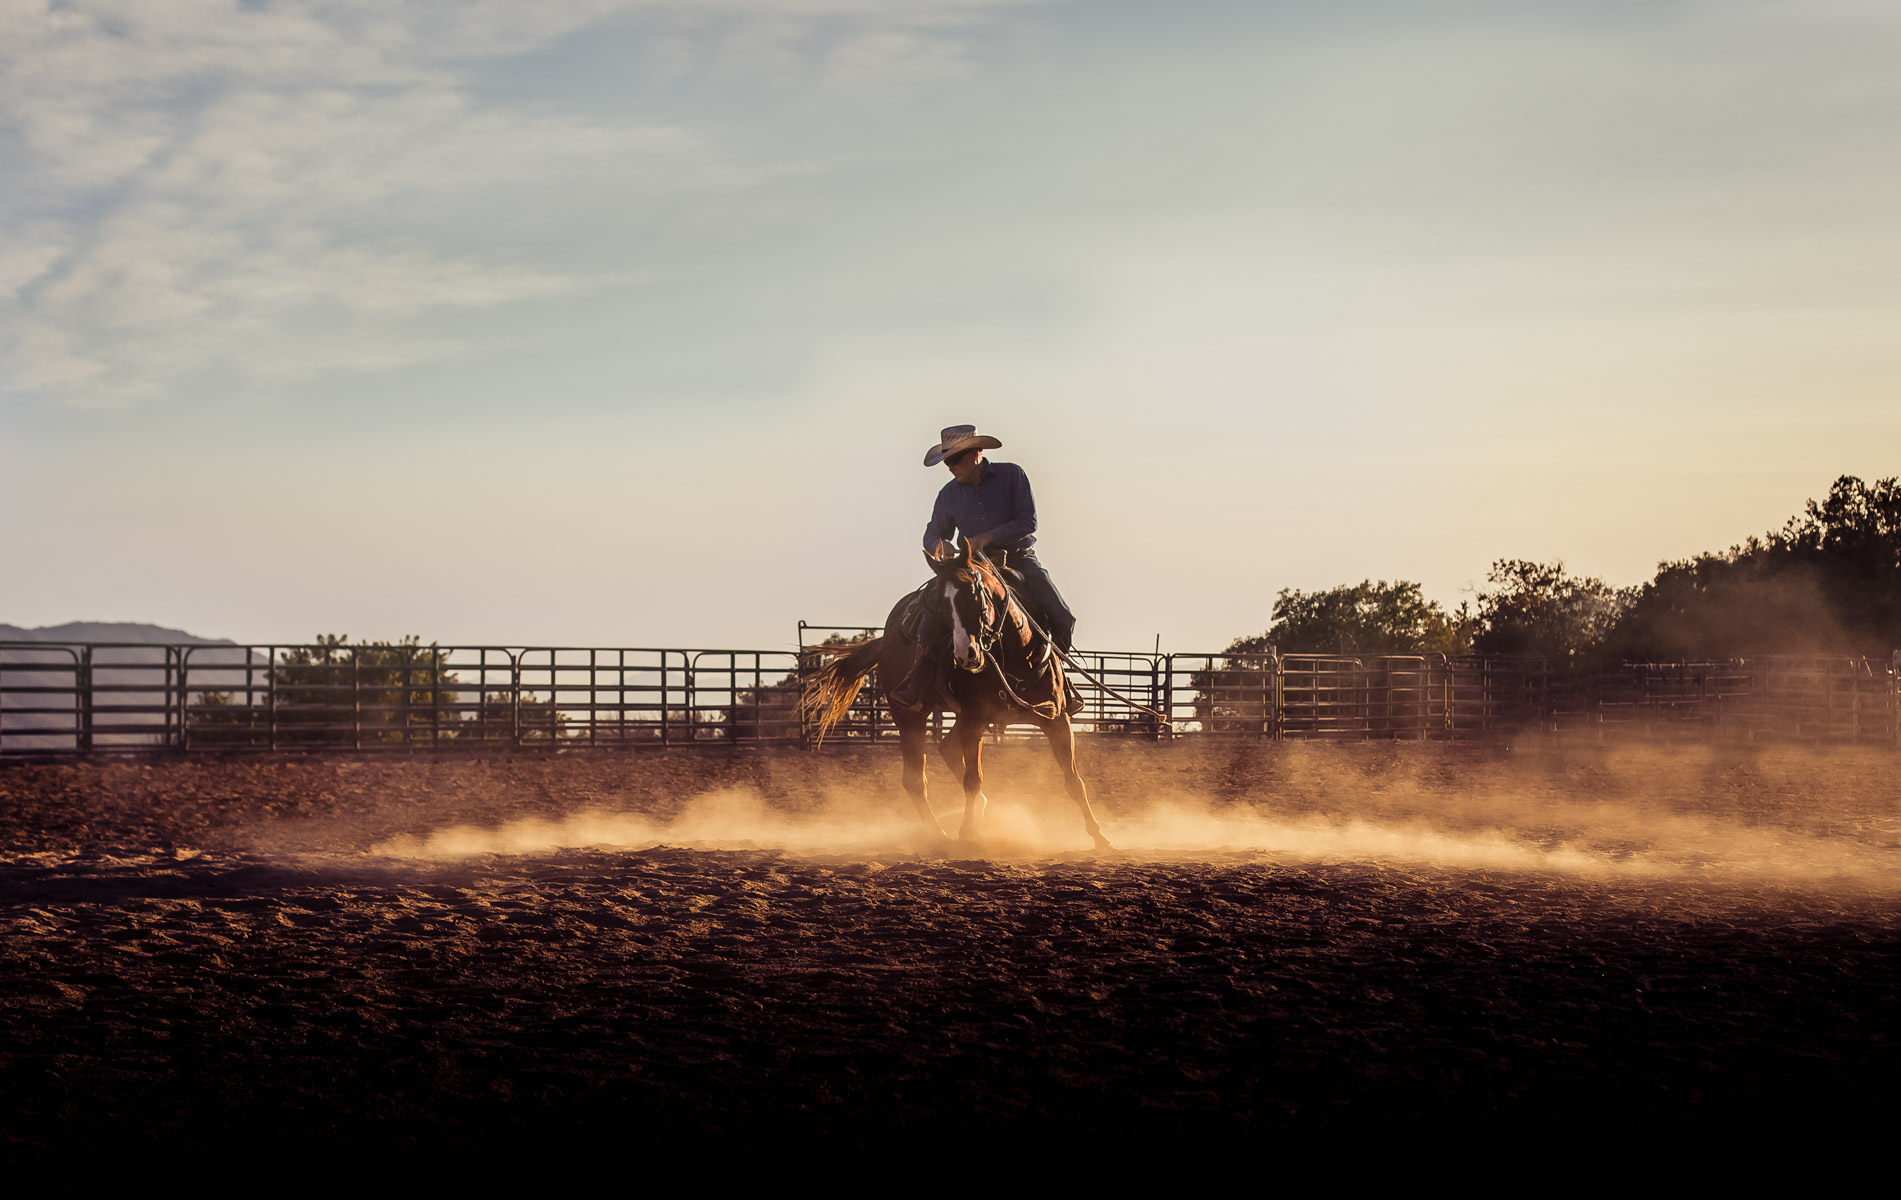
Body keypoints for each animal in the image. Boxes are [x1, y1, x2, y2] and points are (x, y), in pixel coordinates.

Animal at [802, 540, 1110, 848]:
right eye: (939, 604)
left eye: (974, 594)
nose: (965, 655)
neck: (1012, 655)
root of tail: (885, 639)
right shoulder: (974, 721)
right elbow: (972, 779)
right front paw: (968, 833)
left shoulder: (1056, 719)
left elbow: (1074, 781)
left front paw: (1099, 835)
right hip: (909, 715)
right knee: (915, 779)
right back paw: (939, 833)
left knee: (945, 748)